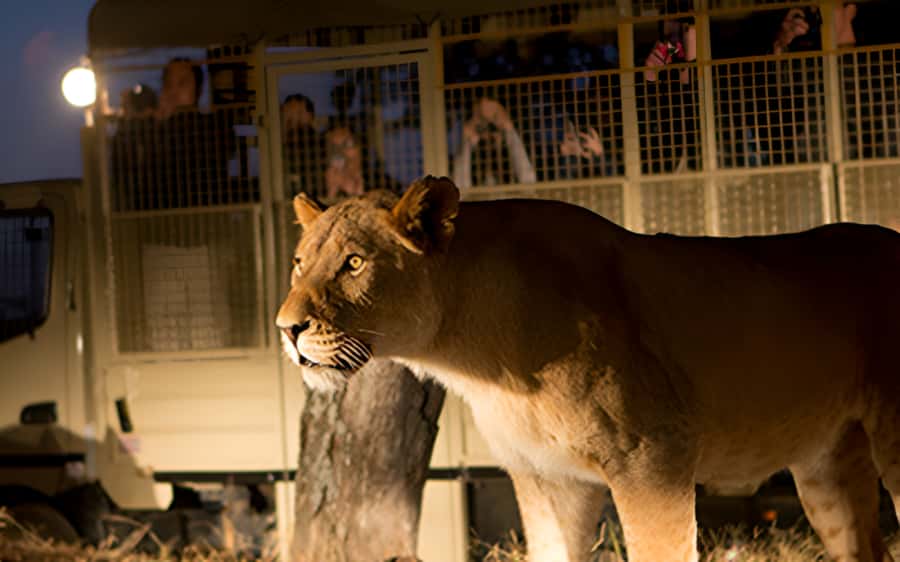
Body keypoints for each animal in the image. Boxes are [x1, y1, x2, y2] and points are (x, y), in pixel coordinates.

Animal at [276, 176, 900, 562]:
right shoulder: (544, 476)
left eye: (354, 263)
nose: (287, 328)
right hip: (827, 466)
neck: (476, 359)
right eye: (300, 262)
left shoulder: (655, 459)